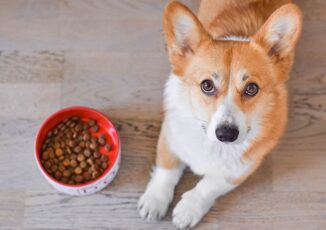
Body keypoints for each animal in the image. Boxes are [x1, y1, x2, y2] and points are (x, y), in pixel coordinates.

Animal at [137, 0, 300, 228]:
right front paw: (155, 201)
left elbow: (208, 185)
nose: (226, 134)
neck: (212, 145)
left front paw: (188, 210)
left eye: (252, 88)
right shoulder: (170, 136)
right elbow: (166, 170)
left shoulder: (240, 169)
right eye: (207, 85)